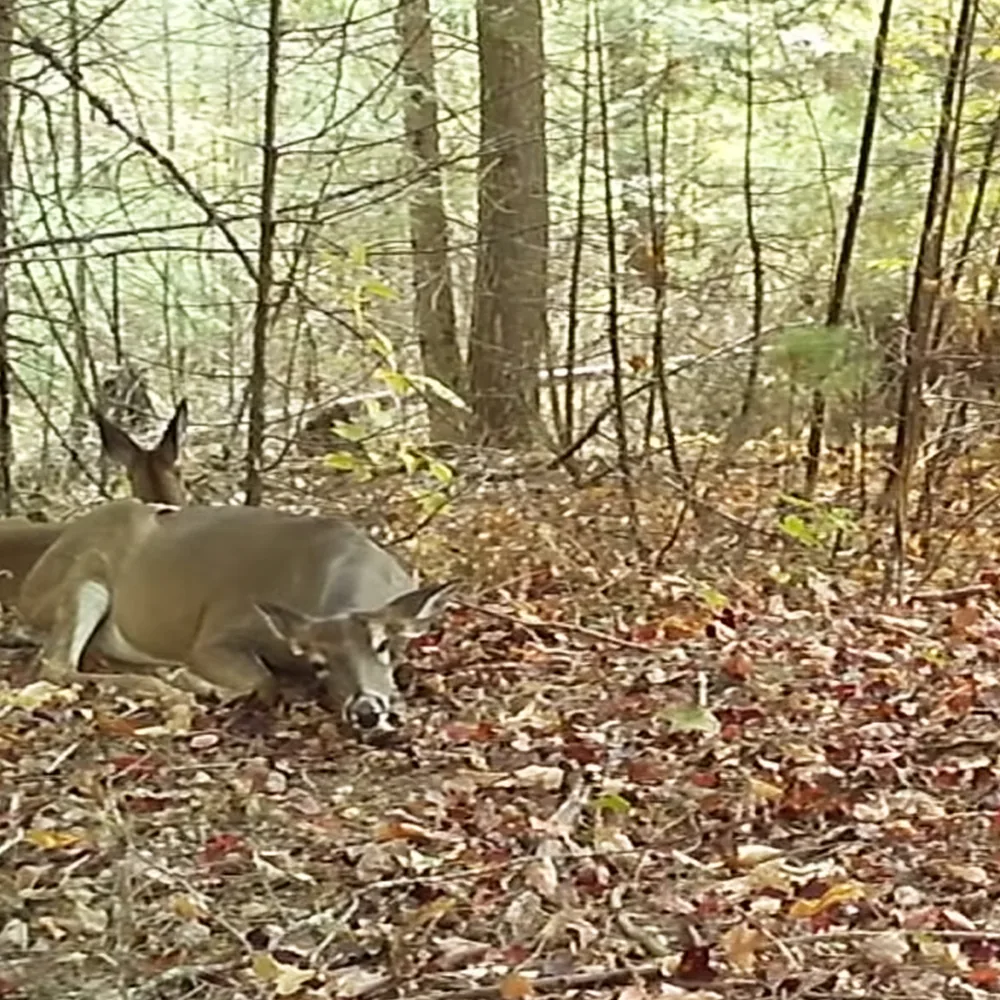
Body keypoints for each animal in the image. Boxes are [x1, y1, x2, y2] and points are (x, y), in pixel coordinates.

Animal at [18, 498, 456, 740]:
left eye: (383, 644)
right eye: (319, 663)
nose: (365, 710)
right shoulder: (216, 633)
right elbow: (261, 680)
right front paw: (197, 682)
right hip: (86, 576)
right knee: (55, 663)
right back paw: (169, 683)